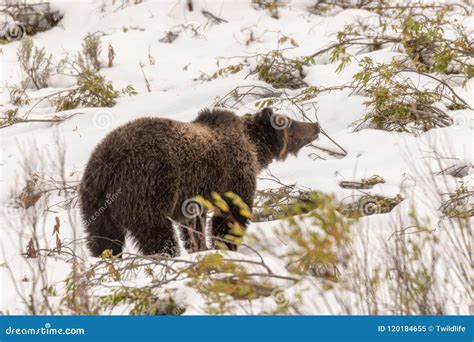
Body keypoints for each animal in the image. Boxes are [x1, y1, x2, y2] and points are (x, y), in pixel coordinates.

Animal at [79, 107, 320, 256]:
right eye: (288, 121)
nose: (315, 125)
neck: (253, 149)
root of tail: (108, 162)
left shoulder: (194, 197)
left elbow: (193, 226)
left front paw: (200, 247)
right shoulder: (232, 174)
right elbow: (231, 214)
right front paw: (225, 245)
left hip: (95, 199)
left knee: (103, 237)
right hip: (149, 185)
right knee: (155, 232)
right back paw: (169, 256)